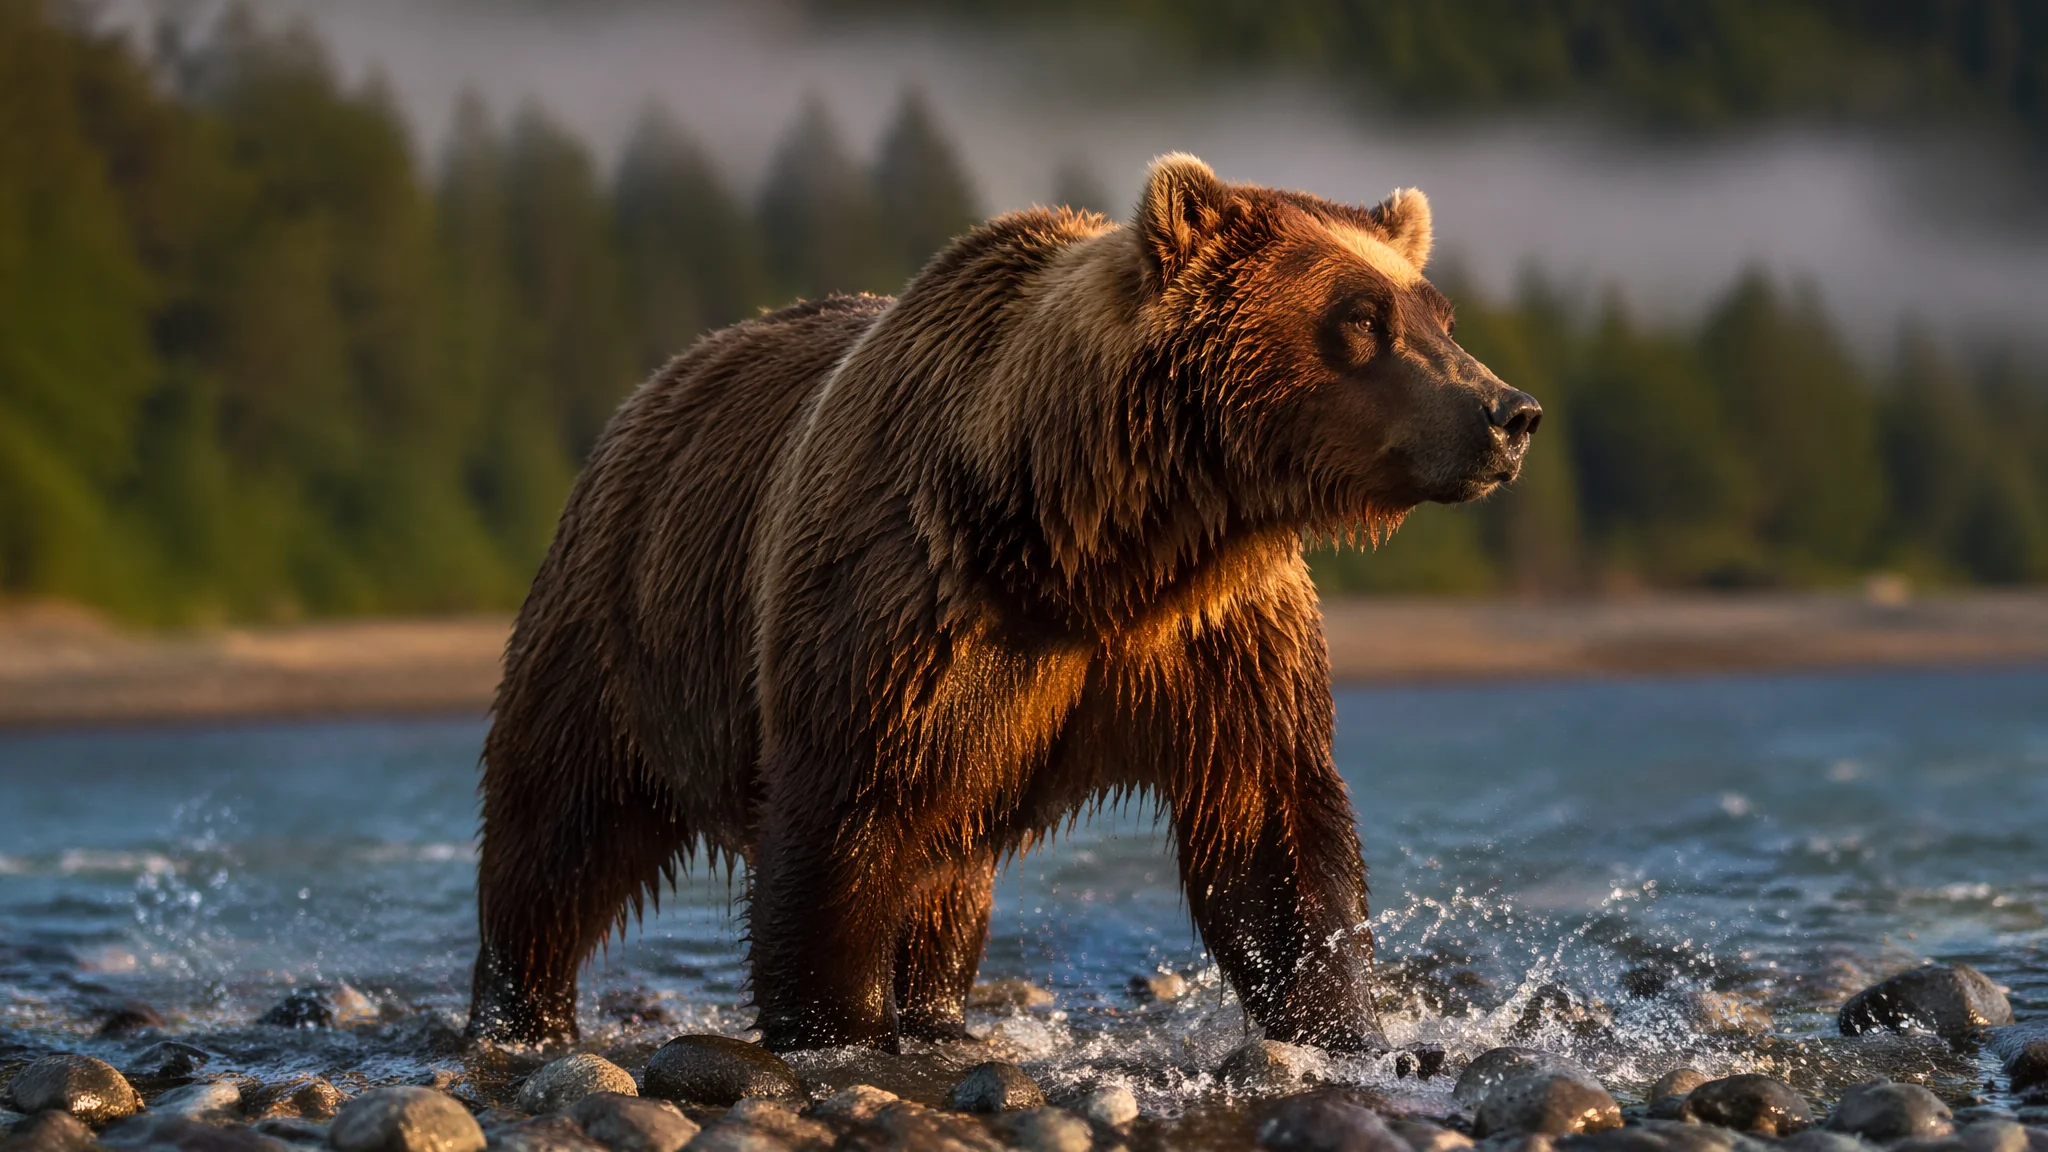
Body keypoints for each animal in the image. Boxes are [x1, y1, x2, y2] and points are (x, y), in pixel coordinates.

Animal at [466, 153, 1540, 1053]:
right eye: (1361, 316)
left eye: (1438, 313)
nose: (1511, 412)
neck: (1089, 547)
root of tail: (658, 381)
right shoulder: (906, 612)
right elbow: (841, 823)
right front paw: (835, 1031)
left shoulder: (1212, 636)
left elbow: (1267, 826)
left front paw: (1343, 1025)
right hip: (620, 631)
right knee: (554, 840)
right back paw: (519, 1012)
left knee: (944, 883)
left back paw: (941, 1014)